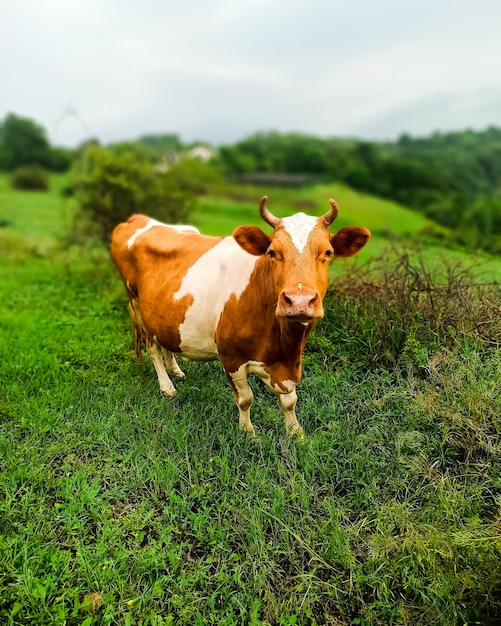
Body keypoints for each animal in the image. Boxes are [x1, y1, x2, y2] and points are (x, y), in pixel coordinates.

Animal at [110, 195, 368, 434]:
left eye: (328, 252)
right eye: (272, 252)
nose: (299, 301)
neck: (283, 347)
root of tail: (139, 218)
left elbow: (289, 401)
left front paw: (296, 433)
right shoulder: (231, 357)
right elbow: (245, 399)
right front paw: (248, 433)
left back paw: (176, 370)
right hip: (135, 302)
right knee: (152, 347)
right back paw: (167, 386)